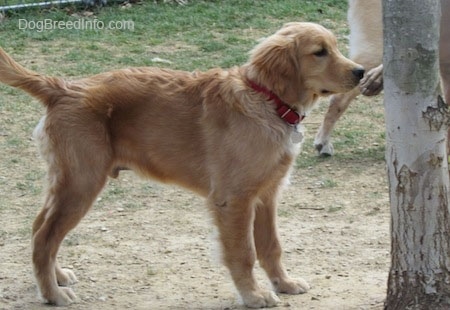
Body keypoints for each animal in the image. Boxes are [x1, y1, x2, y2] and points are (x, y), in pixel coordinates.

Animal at [0, 22, 364, 308]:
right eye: (319, 52)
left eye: (334, 47)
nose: (360, 72)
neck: (266, 100)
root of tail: (61, 88)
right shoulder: (234, 200)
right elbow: (243, 252)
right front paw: (253, 295)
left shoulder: (267, 195)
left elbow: (272, 246)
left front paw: (284, 284)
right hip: (81, 182)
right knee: (44, 236)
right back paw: (51, 294)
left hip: (67, 182)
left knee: (39, 228)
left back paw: (57, 277)